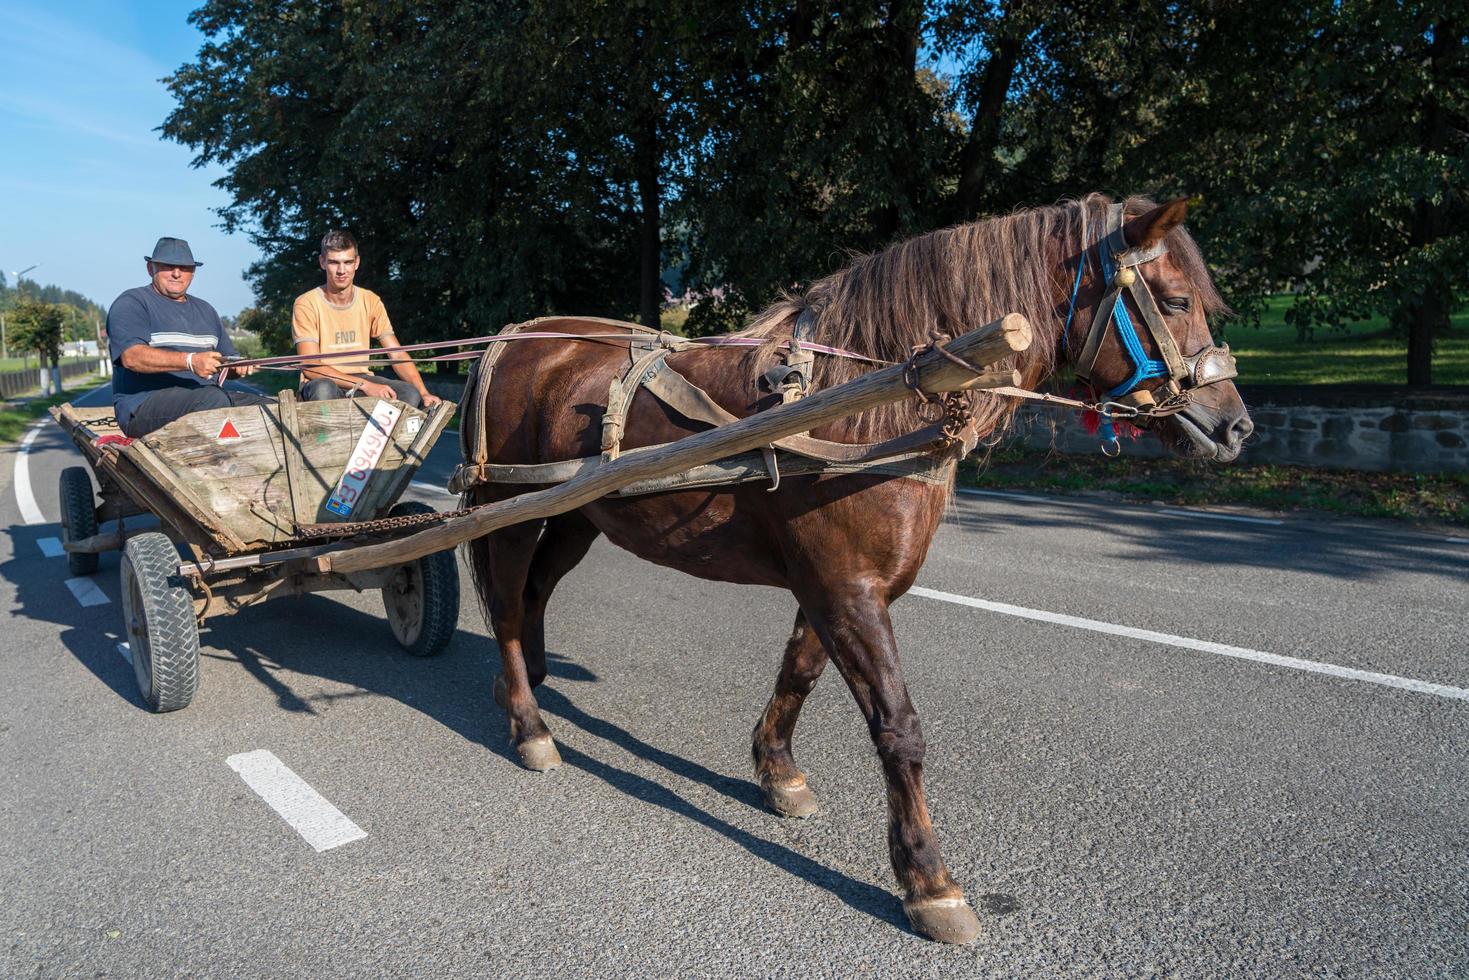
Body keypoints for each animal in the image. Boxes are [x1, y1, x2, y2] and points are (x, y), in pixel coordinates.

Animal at [458, 193, 1251, 940]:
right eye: (1175, 301)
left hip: (575, 515)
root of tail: (517, 339)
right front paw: (928, 880)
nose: (1236, 425)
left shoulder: (838, 587)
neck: (864, 406)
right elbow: (898, 728)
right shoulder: (848, 589)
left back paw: (524, 683)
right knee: (506, 604)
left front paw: (777, 770)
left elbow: (800, 672)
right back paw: (528, 723)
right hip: (505, 507)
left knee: (534, 592)